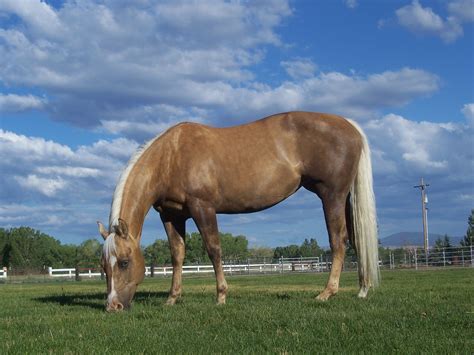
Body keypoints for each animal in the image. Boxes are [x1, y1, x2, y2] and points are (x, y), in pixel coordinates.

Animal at [96, 111, 378, 312]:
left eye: (124, 262)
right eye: (103, 267)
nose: (113, 306)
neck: (170, 156)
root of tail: (349, 125)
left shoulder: (203, 207)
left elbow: (214, 250)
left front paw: (221, 296)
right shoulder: (171, 215)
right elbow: (177, 255)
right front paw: (172, 299)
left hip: (331, 196)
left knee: (338, 241)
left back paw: (326, 293)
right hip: (344, 199)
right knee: (356, 240)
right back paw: (362, 290)